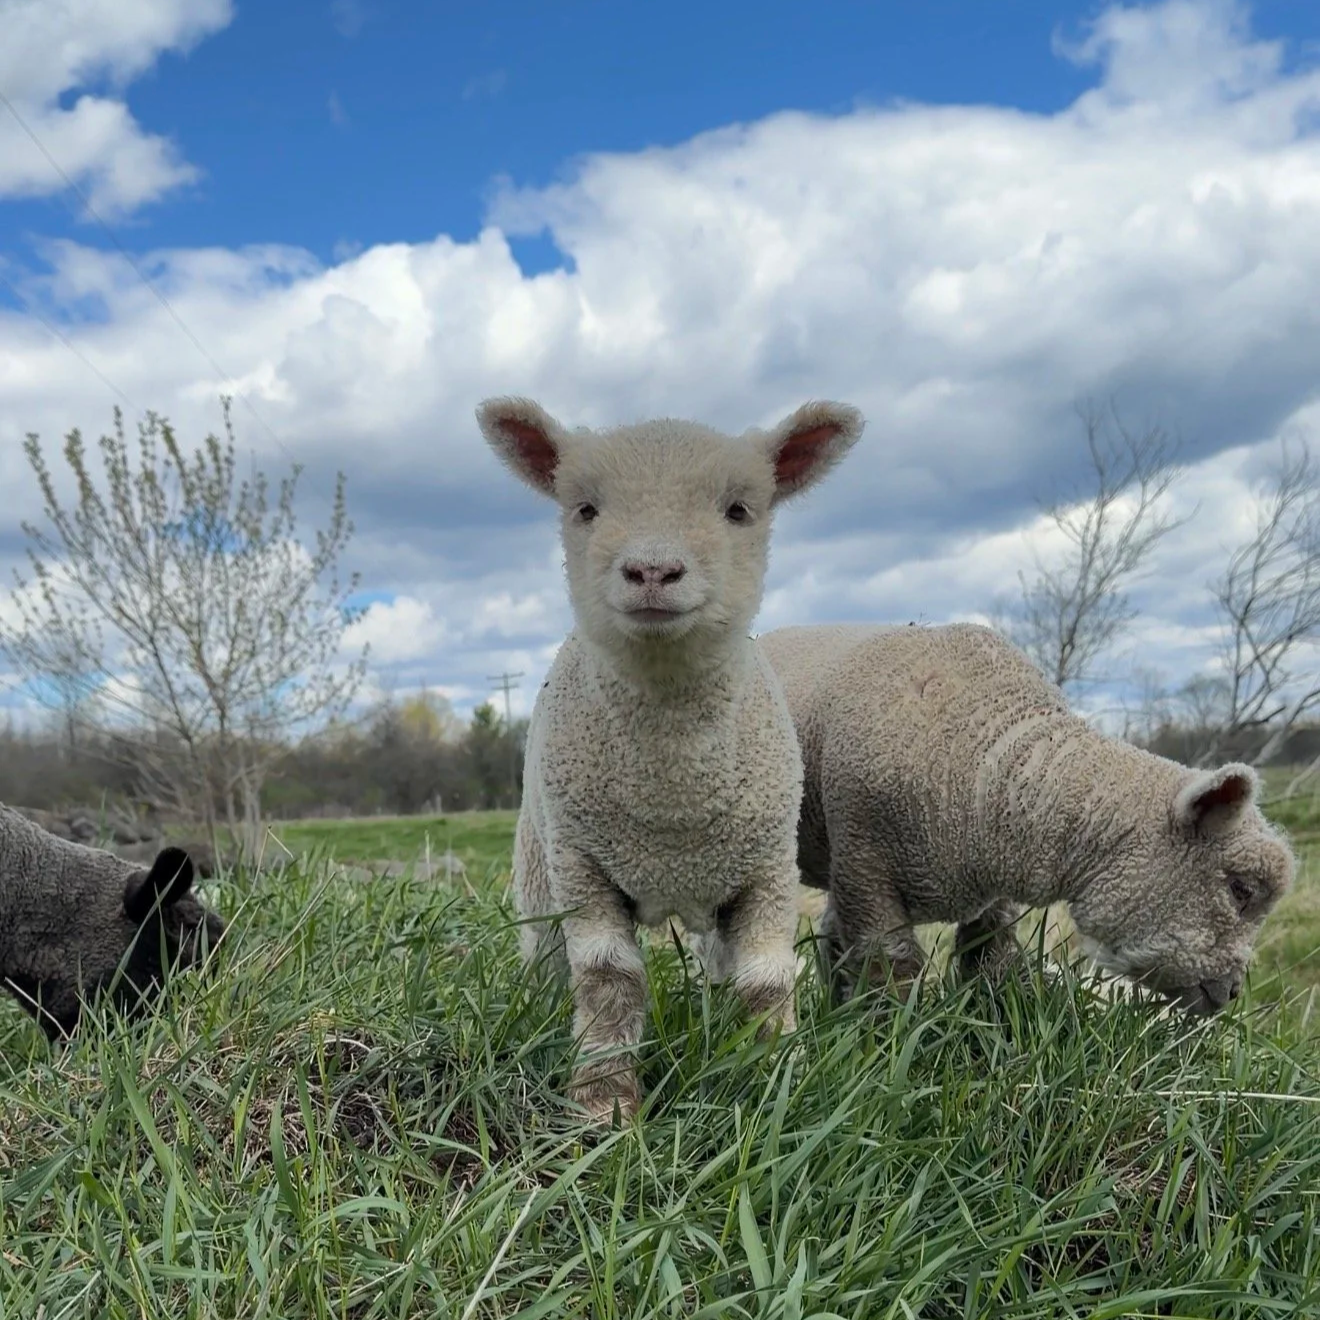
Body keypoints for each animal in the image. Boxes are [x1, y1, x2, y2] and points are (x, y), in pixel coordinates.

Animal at [476, 396, 864, 1120]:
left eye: (739, 510)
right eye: (585, 509)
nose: (652, 572)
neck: (671, 802)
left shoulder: (767, 872)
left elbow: (766, 982)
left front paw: (779, 1083)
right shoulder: (586, 869)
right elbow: (607, 979)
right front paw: (603, 1103)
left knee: (719, 965)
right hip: (541, 866)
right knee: (546, 959)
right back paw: (538, 1019)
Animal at [757, 622, 1294, 1014]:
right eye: (1241, 890)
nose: (1231, 993)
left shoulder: (988, 888)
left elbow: (989, 960)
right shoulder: (866, 872)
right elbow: (888, 971)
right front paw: (883, 1045)